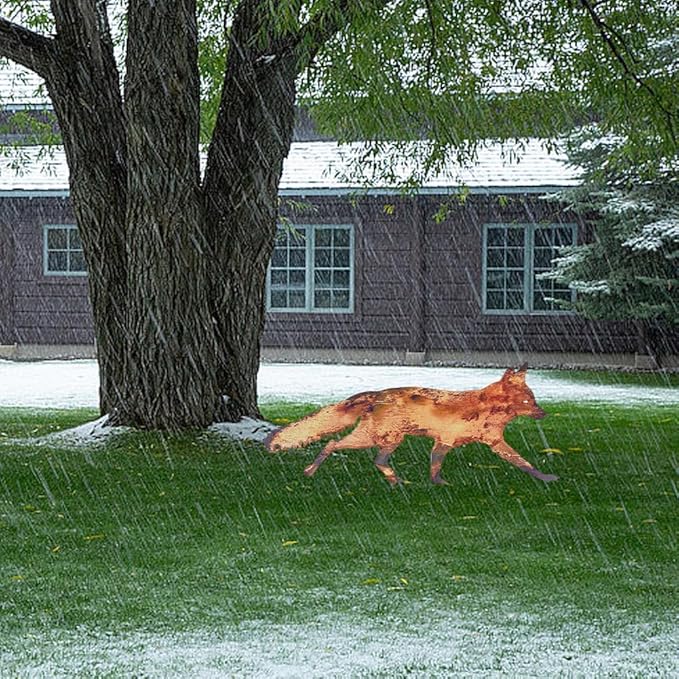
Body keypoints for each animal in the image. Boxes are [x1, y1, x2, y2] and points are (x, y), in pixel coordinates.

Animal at [265, 365, 558, 486]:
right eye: (529, 400)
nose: (544, 413)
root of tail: (376, 394)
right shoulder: (452, 441)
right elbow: (523, 462)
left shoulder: (453, 442)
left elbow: (524, 463)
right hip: (380, 438)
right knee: (340, 446)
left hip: (383, 439)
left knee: (357, 453)